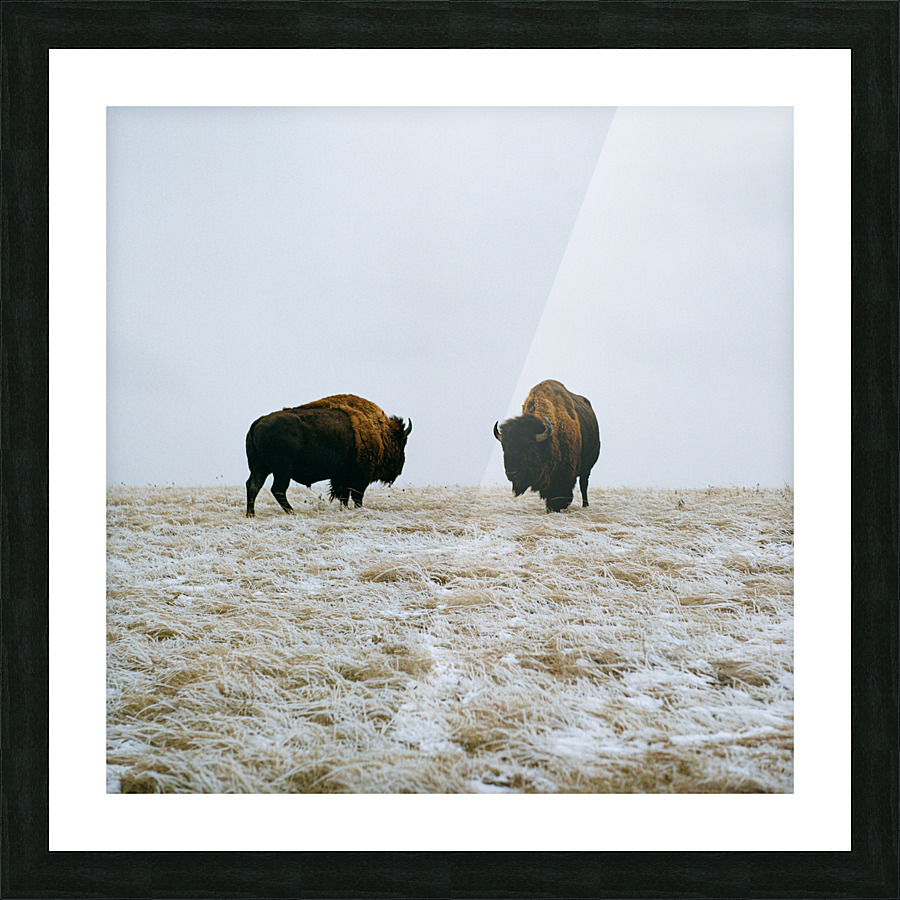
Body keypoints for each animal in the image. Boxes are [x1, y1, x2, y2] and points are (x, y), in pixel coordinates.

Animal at [245, 394, 412, 516]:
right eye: (402, 441)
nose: (400, 468)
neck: (380, 432)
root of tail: (258, 423)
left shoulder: (341, 476)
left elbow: (344, 496)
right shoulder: (359, 476)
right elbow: (356, 496)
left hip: (261, 468)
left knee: (253, 485)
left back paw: (251, 514)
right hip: (282, 471)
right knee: (277, 489)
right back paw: (292, 512)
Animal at [493, 379, 600, 512]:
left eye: (530, 447)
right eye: (504, 448)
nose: (512, 473)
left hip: (587, 469)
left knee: (583, 485)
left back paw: (585, 505)